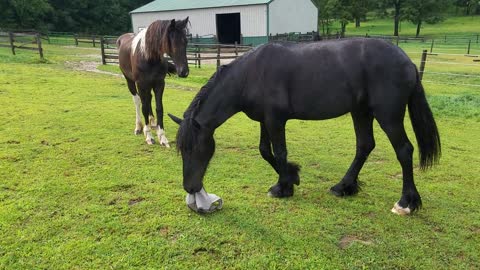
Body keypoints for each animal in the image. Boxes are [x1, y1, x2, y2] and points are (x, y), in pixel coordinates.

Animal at [117, 17, 190, 147]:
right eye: (172, 42)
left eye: (186, 41)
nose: (184, 72)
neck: (148, 57)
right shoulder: (141, 85)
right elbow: (144, 107)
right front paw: (149, 136)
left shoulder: (159, 84)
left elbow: (159, 108)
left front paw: (162, 137)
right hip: (130, 82)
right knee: (137, 101)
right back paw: (139, 127)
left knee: (148, 99)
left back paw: (152, 122)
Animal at [171, 38, 440, 215]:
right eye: (182, 150)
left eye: (196, 149)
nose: (190, 187)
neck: (251, 74)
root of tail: (407, 61)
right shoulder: (264, 120)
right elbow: (264, 151)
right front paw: (291, 177)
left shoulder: (276, 120)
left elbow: (279, 152)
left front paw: (284, 186)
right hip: (361, 112)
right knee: (365, 146)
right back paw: (343, 187)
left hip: (388, 116)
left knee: (404, 150)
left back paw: (405, 203)